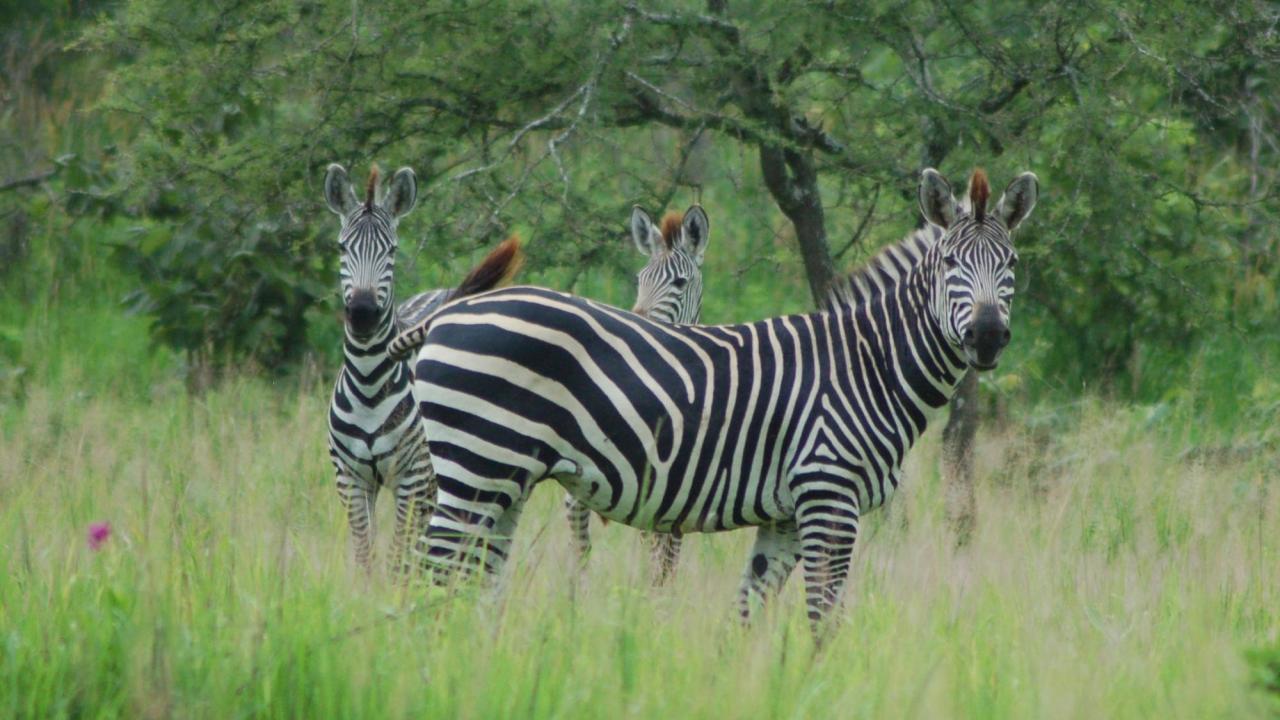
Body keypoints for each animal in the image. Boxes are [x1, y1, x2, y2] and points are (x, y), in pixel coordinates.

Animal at [324, 163, 523, 575]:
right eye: (341, 248)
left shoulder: (411, 479)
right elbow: (365, 557)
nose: (363, 314)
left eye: (392, 250)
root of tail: (448, 295)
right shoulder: (350, 480)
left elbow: (398, 557)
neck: (368, 385)